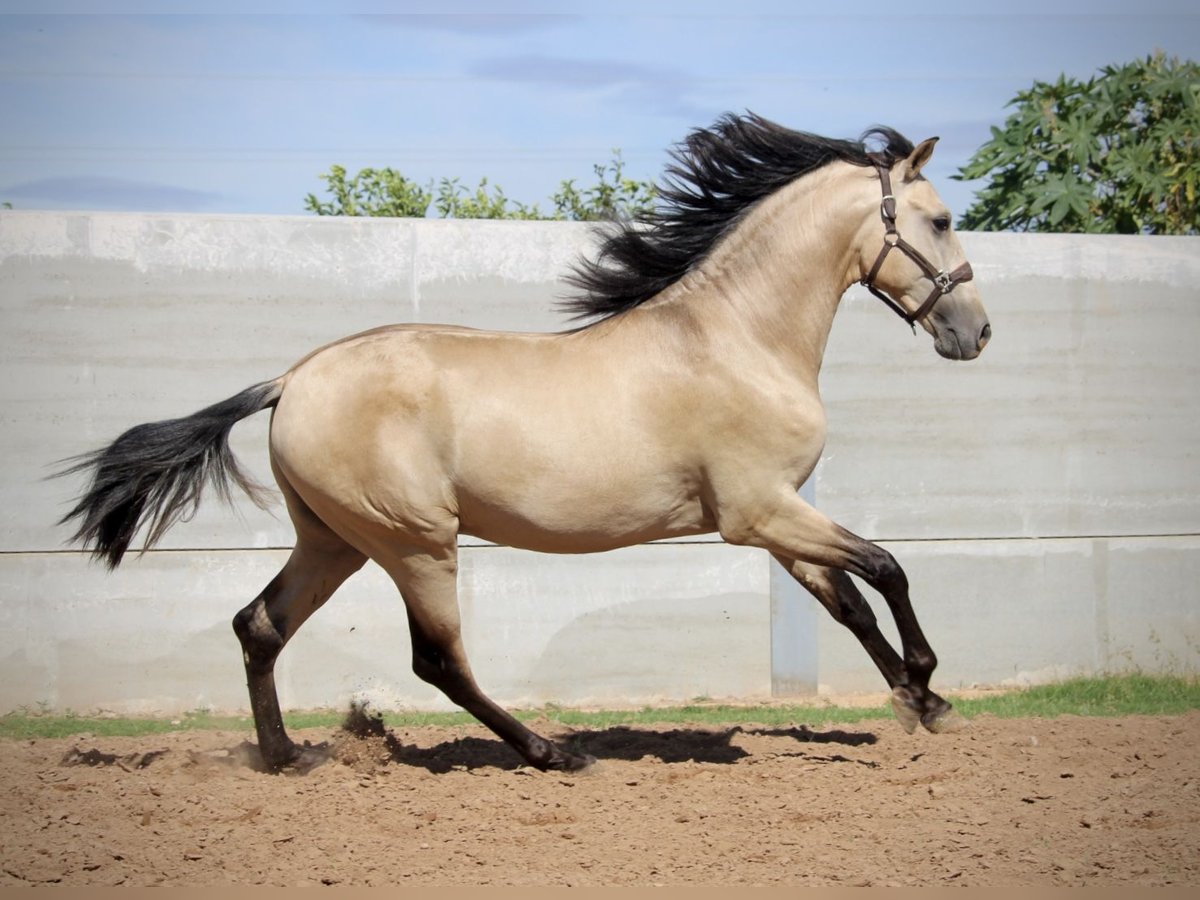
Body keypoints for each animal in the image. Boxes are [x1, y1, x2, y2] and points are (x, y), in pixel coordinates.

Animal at [58, 112, 993, 777]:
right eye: (942, 220)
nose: (976, 333)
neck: (736, 337)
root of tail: (292, 379)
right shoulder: (758, 511)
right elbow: (886, 569)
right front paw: (927, 683)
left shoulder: (775, 517)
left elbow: (849, 601)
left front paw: (919, 703)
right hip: (416, 542)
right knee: (437, 659)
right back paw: (554, 753)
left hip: (334, 541)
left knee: (259, 625)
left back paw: (288, 757)